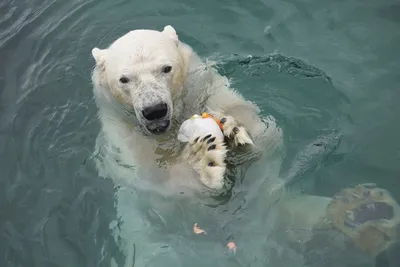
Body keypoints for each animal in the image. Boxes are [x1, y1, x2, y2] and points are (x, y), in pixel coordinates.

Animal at [90, 25, 400, 266]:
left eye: (165, 68)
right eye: (124, 79)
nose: (154, 110)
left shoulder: (211, 91)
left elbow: (266, 137)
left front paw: (234, 132)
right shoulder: (126, 148)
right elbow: (165, 192)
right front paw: (206, 159)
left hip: (275, 210)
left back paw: (365, 211)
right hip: (156, 250)